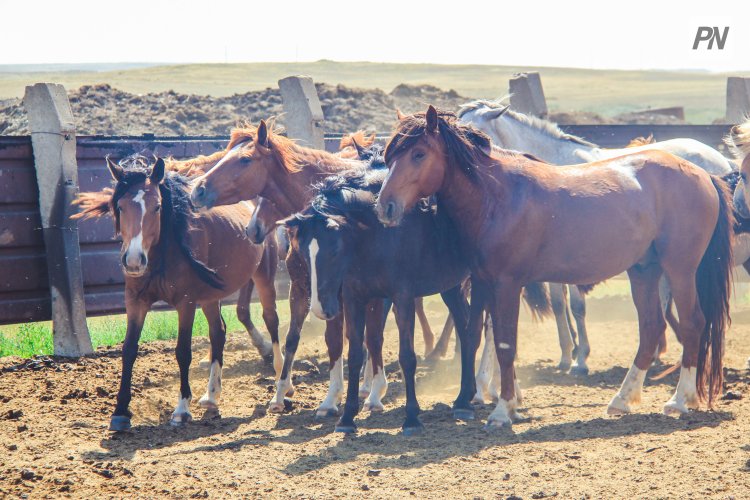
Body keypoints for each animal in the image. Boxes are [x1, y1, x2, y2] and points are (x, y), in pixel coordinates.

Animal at [73, 155, 280, 430]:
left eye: (157, 207)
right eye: (120, 206)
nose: (134, 260)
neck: (162, 253)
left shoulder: (186, 302)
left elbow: (183, 351)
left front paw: (181, 409)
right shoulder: (135, 301)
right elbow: (129, 349)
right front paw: (120, 411)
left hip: (264, 276)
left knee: (271, 320)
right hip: (211, 297)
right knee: (218, 332)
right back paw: (211, 397)